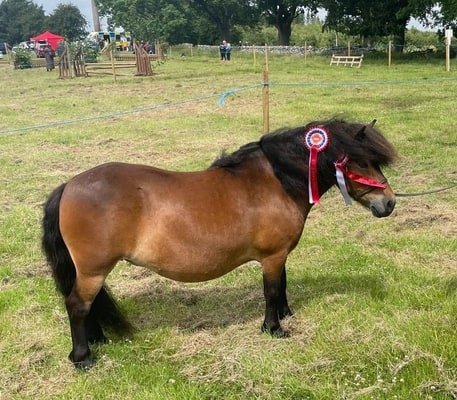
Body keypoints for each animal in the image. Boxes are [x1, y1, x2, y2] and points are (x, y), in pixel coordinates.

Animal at [42, 119, 396, 368]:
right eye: (361, 162)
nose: (389, 203)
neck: (275, 182)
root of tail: (69, 185)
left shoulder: (279, 255)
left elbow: (282, 285)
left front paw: (286, 314)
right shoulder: (272, 256)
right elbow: (271, 290)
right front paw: (274, 328)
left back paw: (97, 339)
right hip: (93, 270)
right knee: (77, 305)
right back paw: (83, 357)